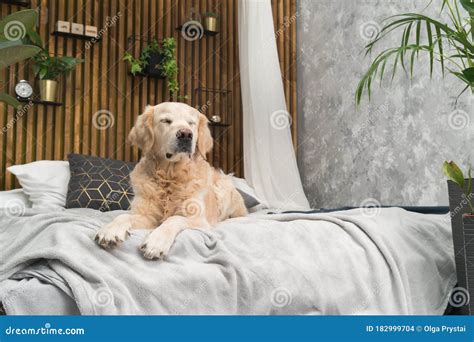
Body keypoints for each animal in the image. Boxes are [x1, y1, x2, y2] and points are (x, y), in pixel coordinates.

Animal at [94, 101, 246, 260]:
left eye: (191, 123)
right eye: (166, 121)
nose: (186, 134)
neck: (170, 176)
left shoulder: (200, 221)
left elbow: (174, 219)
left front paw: (156, 242)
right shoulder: (147, 216)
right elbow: (123, 216)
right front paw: (111, 230)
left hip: (223, 187)